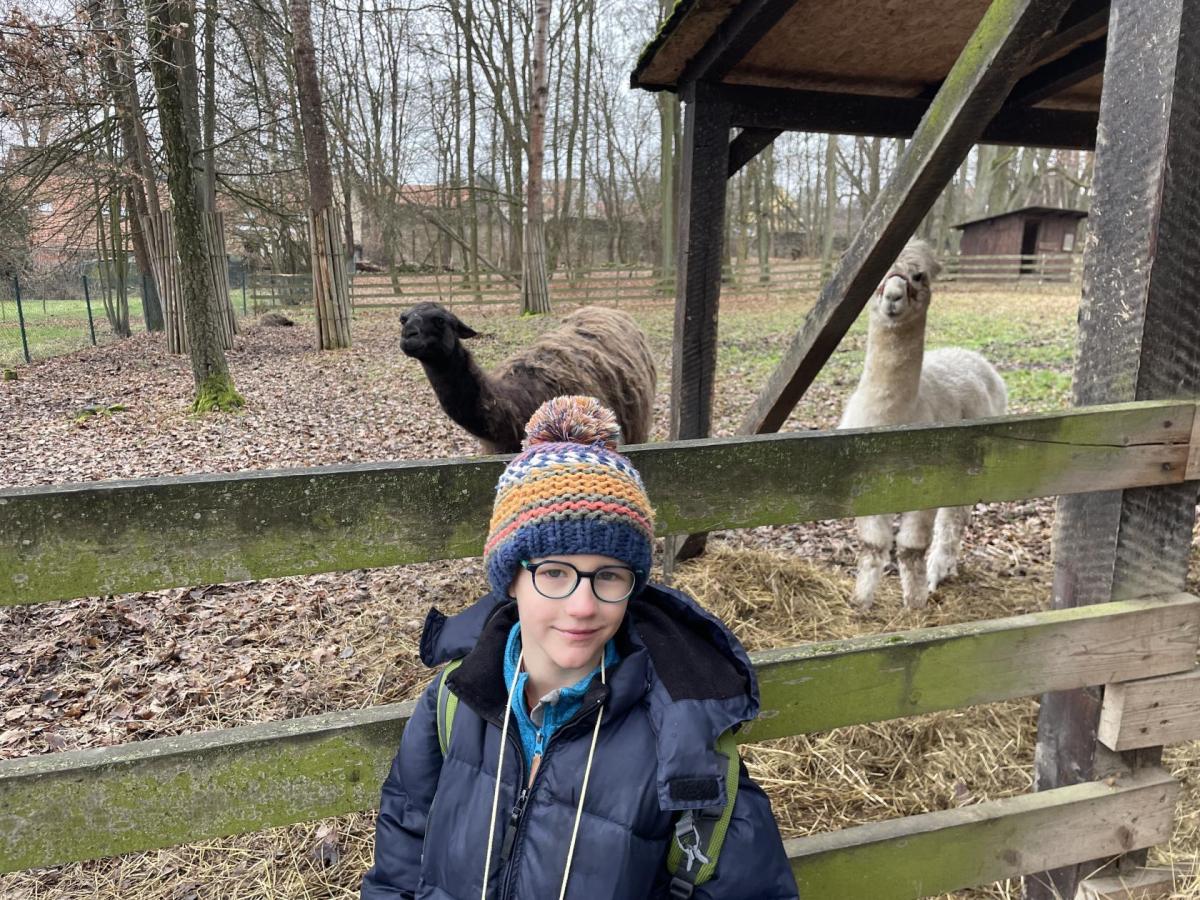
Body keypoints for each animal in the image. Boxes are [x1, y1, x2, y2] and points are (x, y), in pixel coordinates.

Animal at [839, 240, 1007, 610]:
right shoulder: (866, 487)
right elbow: (873, 545)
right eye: (880, 272)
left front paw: (915, 602)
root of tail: (969, 355)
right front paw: (861, 601)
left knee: (952, 522)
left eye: (918, 275)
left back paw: (939, 570)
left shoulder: (926, 486)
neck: (893, 419)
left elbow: (911, 548)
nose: (893, 296)